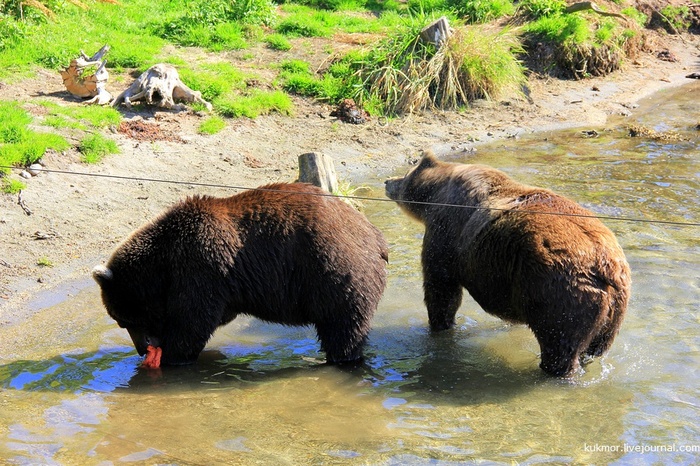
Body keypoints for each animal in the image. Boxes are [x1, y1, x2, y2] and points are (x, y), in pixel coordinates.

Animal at [91, 182, 388, 368]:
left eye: (124, 321)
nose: (142, 349)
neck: (163, 263)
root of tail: (376, 237)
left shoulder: (202, 265)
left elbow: (193, 321)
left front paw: (171, 357)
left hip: (334, 271)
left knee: (343, 328)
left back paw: (342, 358)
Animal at [386, 151, 632, 376]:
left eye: (405, 175)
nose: (388, 181)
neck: (434, 195)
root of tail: (606, 267)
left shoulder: (445, 234)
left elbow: (441, 288)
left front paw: (439, 326)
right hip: (614, 311)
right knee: (595, 347)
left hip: (561, 292)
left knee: (559, 344)